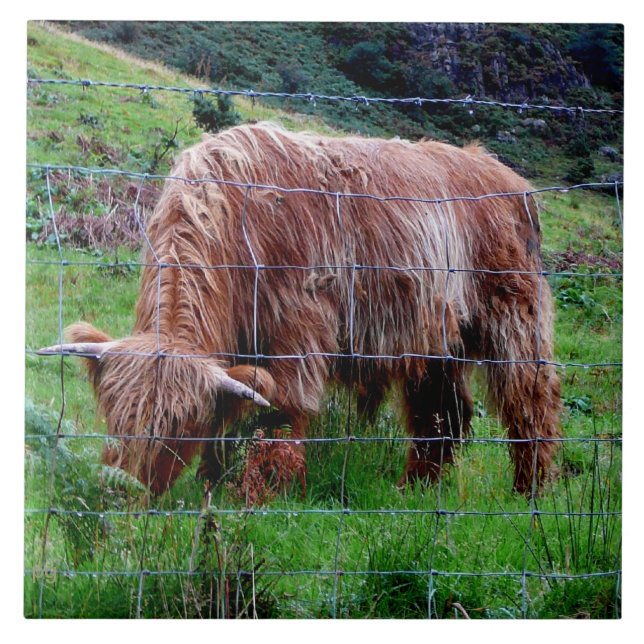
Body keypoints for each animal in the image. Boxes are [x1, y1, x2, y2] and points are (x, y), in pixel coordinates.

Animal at [38, 122, 561, 496]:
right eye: (113, 418)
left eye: (176, 429)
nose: (118, 490)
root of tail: (508, 177)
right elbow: (234, 413)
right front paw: (213, 481)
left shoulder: (297, 327)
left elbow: (281, 411)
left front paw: (264, 491)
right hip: (434, 337)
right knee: (442, 412)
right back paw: (414, 488)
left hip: (513, 312)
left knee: (530, 398)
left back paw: (530, 489)